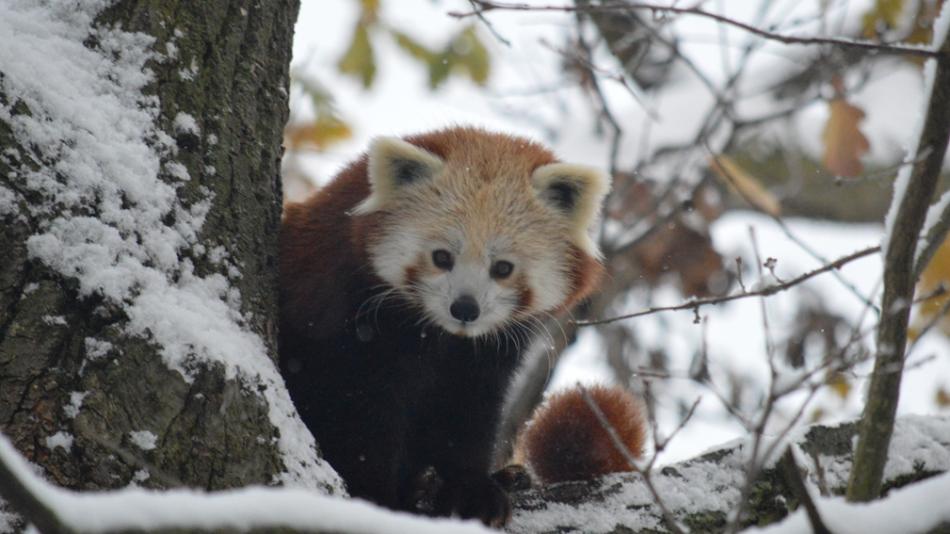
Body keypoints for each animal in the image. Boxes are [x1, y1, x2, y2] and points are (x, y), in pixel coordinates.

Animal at [278, 126, 612, 528]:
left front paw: (472, 488)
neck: (439, 337)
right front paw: (375, 496)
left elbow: (467, 411)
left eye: (502, 268)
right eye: (442, 257)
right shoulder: (343, 322)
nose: (465, 308)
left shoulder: (485, 354)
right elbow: (353, 415)